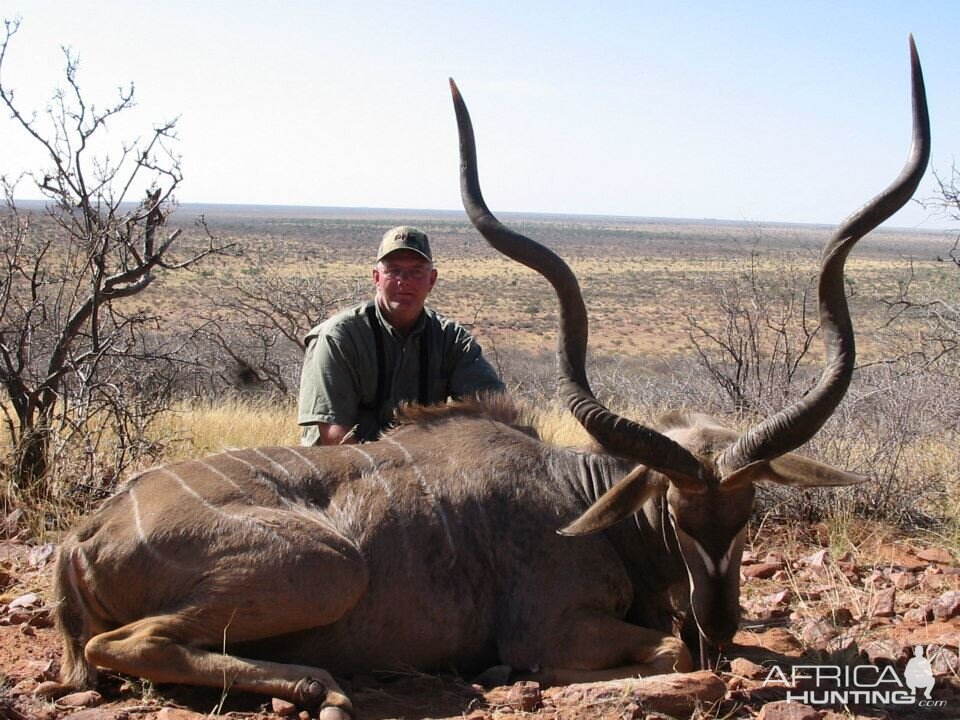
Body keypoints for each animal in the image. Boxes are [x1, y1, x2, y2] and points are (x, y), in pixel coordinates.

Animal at [54, 39, 928, 720]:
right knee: (126, 642)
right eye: (676, 517)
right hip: (332, 567)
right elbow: (665, 654)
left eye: (750, 514)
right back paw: (321, 688)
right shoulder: (555, 628)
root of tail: (83, 537)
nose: (719, 622)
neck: (581, 499)